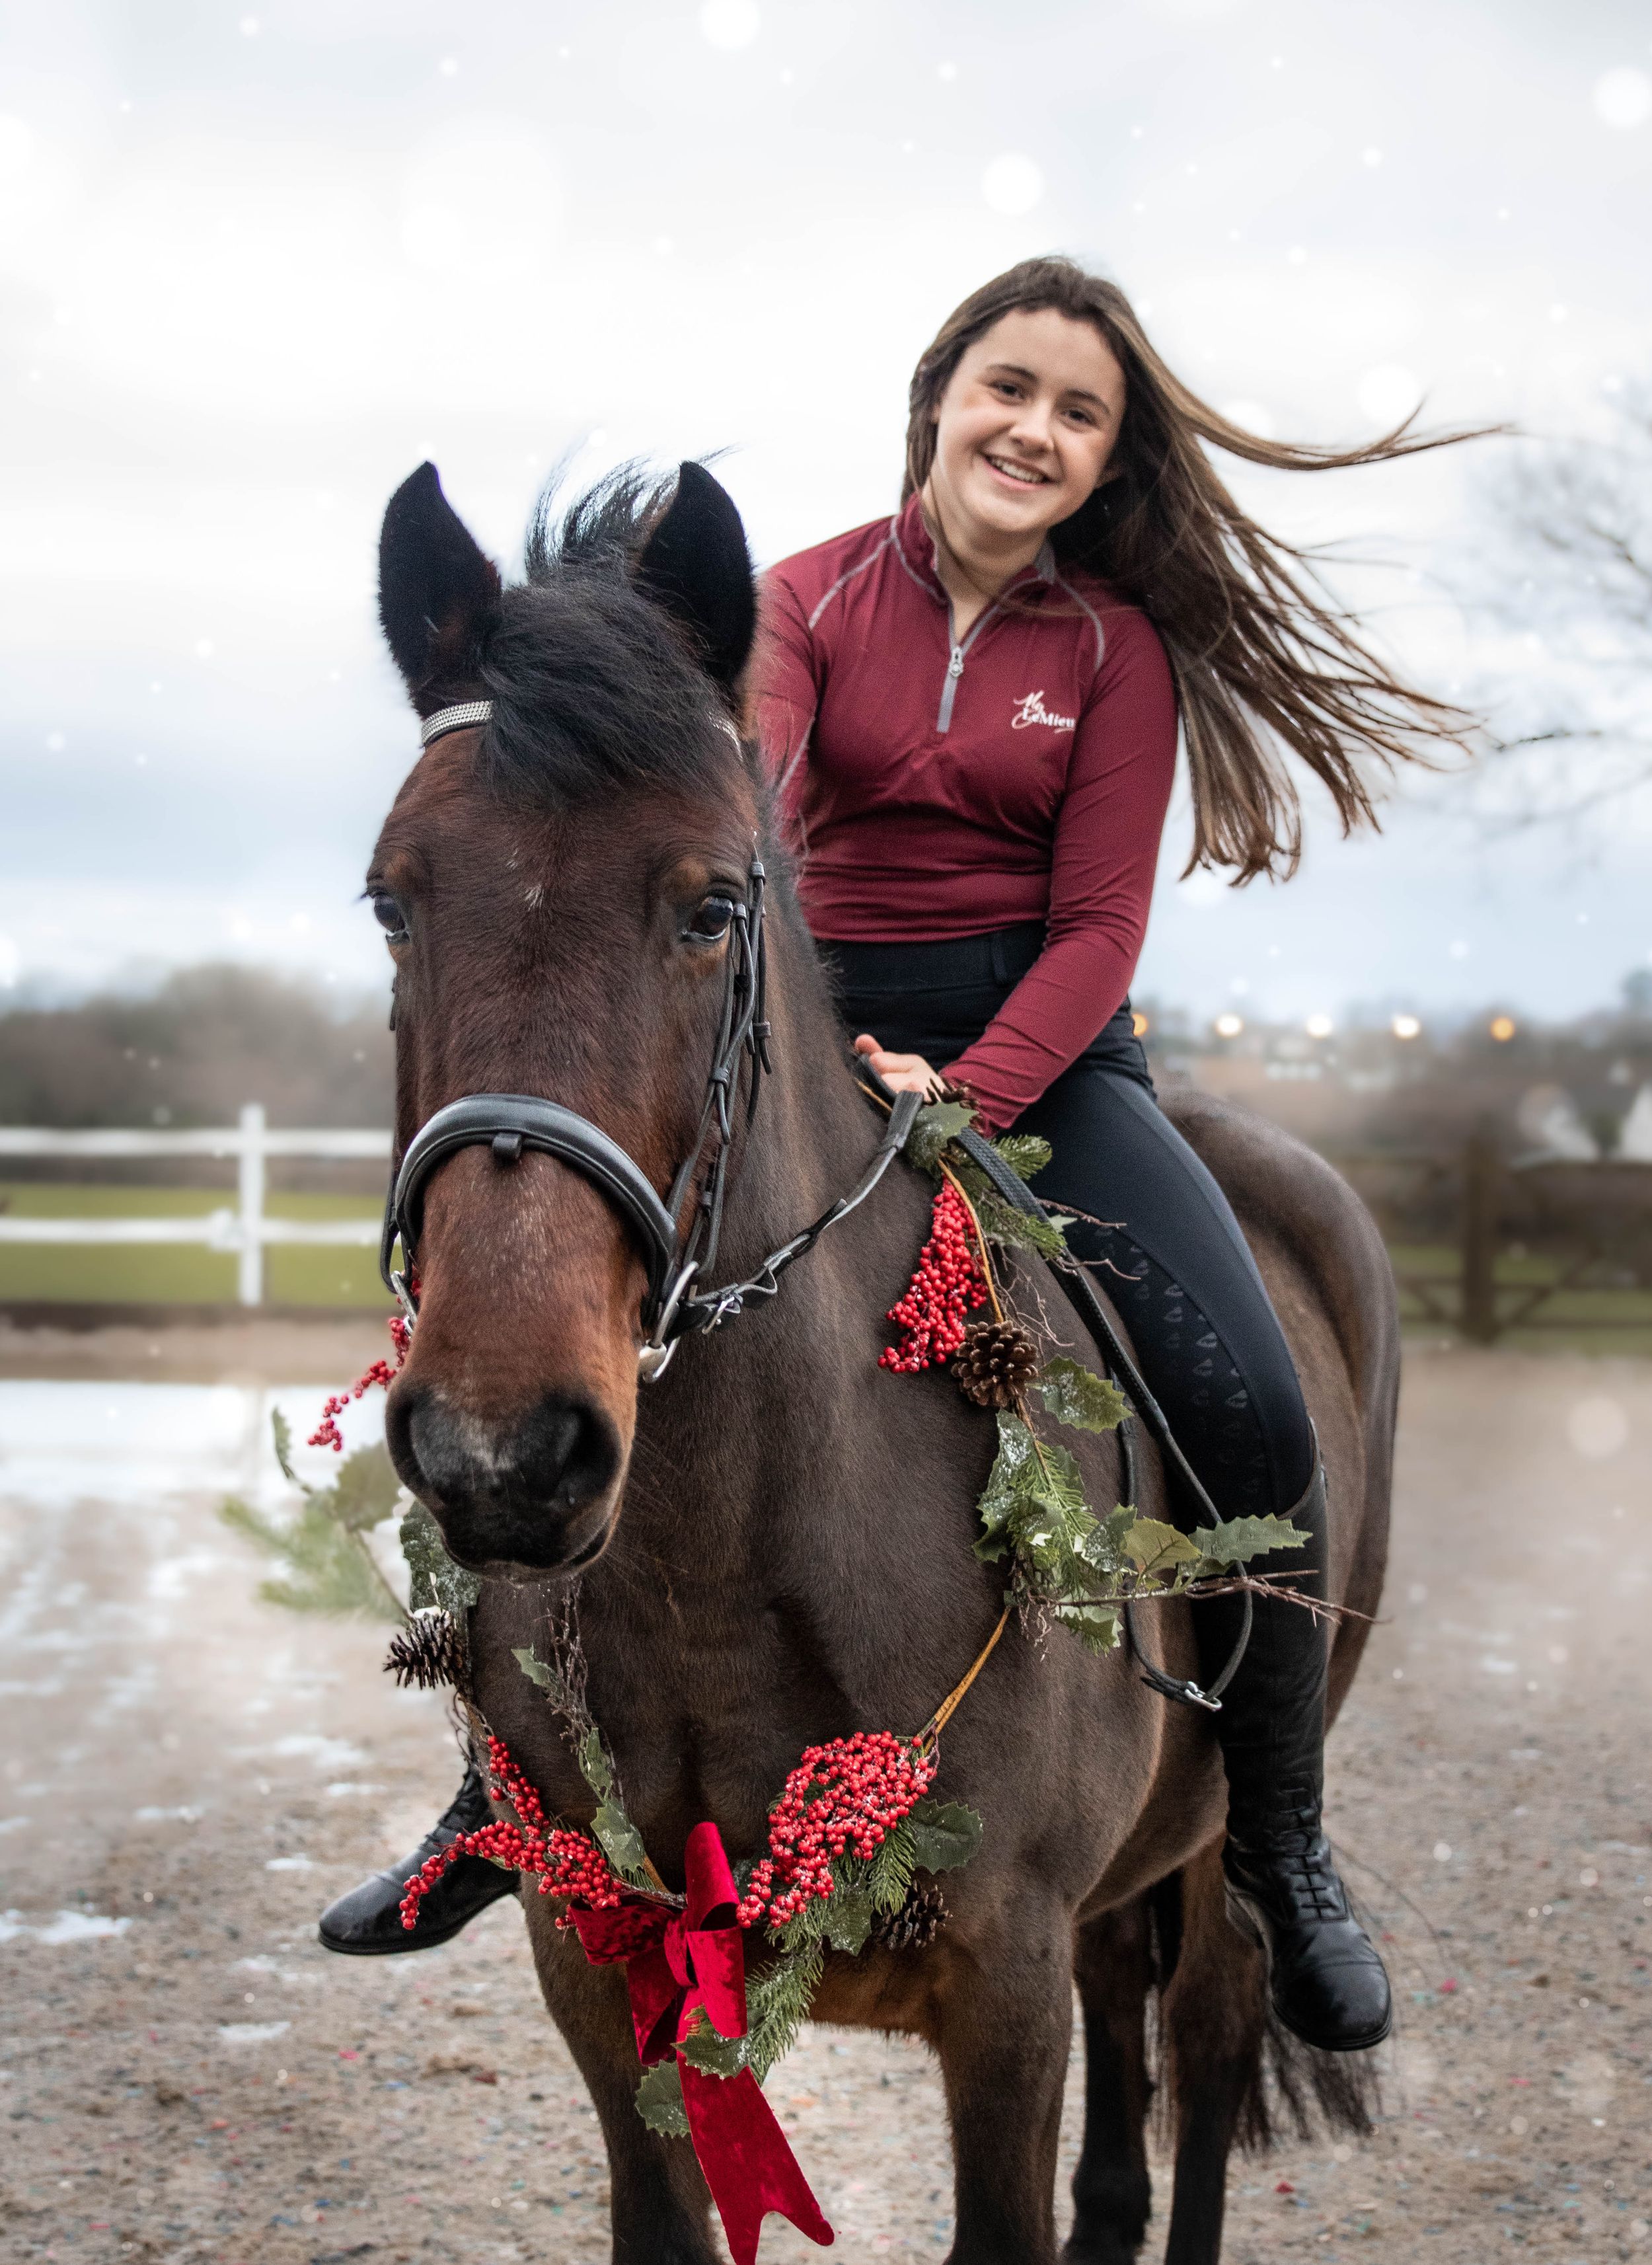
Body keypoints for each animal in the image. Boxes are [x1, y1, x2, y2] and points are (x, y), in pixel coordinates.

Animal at [367, 456, 1397, 2265]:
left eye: (713, 907)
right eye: (390, 901)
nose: (505, 1450)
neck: (721, 1568)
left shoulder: (1002, 1990)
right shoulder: (601, 1973)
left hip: (1223, 1860)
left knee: (1205, 2039)